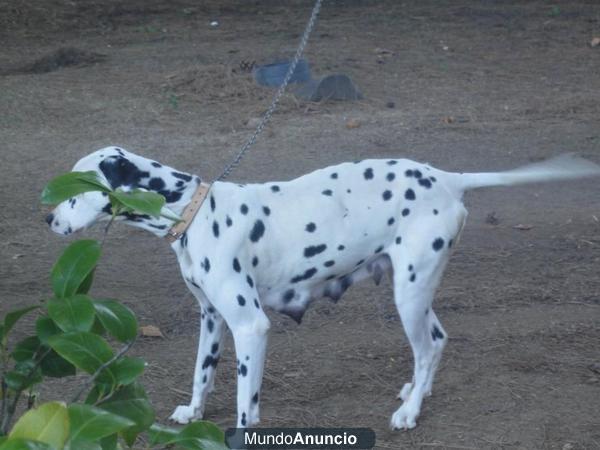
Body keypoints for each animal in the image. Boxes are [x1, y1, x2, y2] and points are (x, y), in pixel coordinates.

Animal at [45, 147, 600, 428]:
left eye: (75, 191)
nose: (48, 218)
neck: (194, 208)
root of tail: (448, 177)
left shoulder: (250, 327)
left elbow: (246, 403)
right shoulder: (213, 320)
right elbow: (202, 375)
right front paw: (192, 412)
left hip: (409, 297)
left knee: (429, 347)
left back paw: (409, 412)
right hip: (414, 293)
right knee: (436, 344)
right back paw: (414, 393)